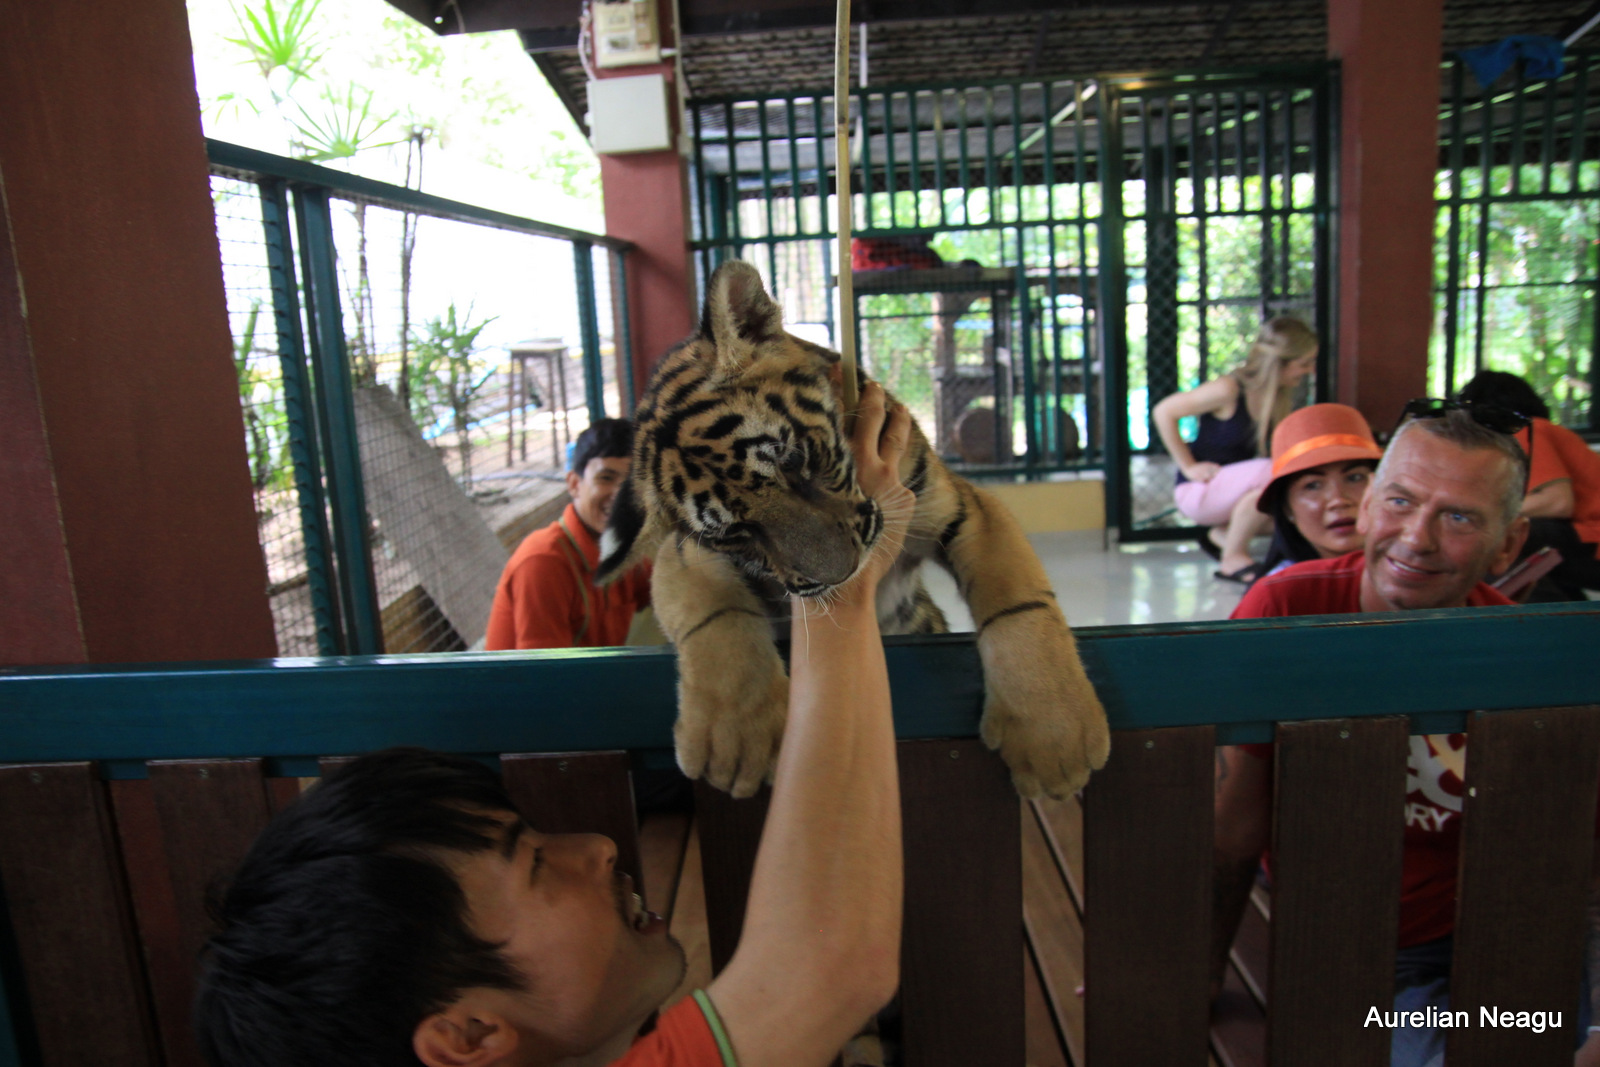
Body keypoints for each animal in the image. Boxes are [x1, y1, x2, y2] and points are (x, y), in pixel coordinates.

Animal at [596, 260, 1109, 800]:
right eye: (737, 534)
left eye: (794, 461)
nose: (839, 574)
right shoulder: (685, 553)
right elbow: (714, 617)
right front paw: (735, 743)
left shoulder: (957, 504)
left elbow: (1019, 603)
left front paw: (1056, 738)